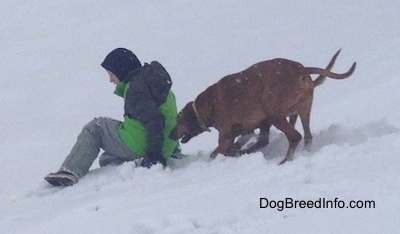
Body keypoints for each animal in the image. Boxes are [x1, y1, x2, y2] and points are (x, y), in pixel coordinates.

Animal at [170, 50, 354, 165]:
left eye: (178, 121)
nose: (171, 134)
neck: (206, 105)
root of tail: (300, 69)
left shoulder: (225, 134)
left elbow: (220, 150)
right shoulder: (250, 127)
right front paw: (238, 151)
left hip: (274, 114)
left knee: (295, 136)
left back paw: (284, 161)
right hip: (301, 109)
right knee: (307, 136)